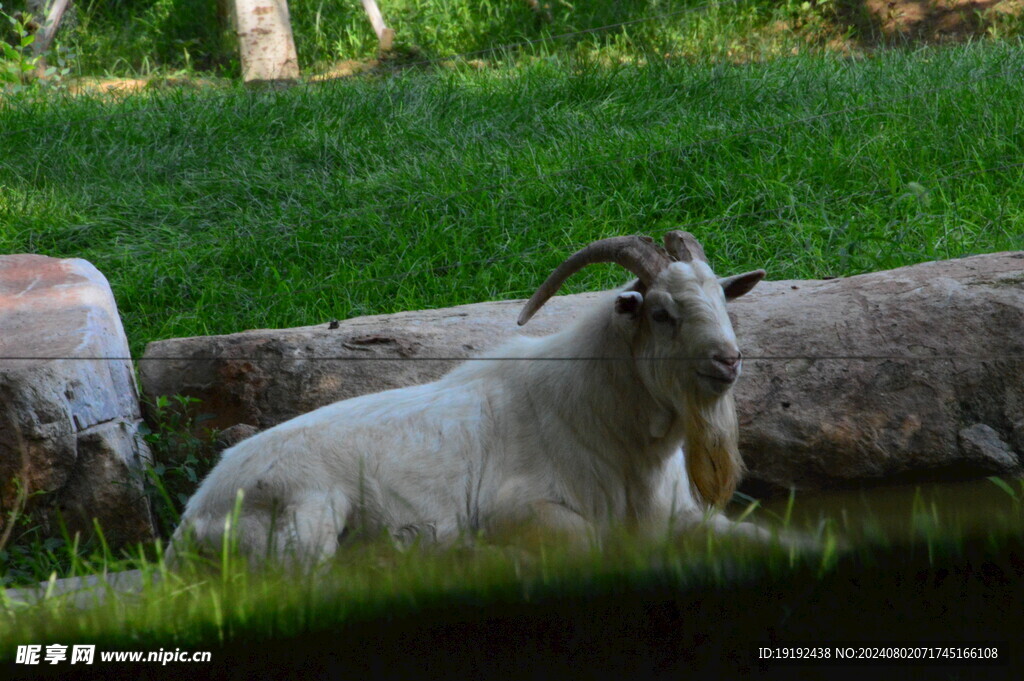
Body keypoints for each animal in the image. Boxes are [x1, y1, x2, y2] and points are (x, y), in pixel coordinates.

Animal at [172, 231, 770, 561]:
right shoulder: (519, 510)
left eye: (724, 300)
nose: (728, 360)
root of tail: (193, 519)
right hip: (305, 519)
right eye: (662, 313)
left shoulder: (685, 517)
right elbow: (589, 544)